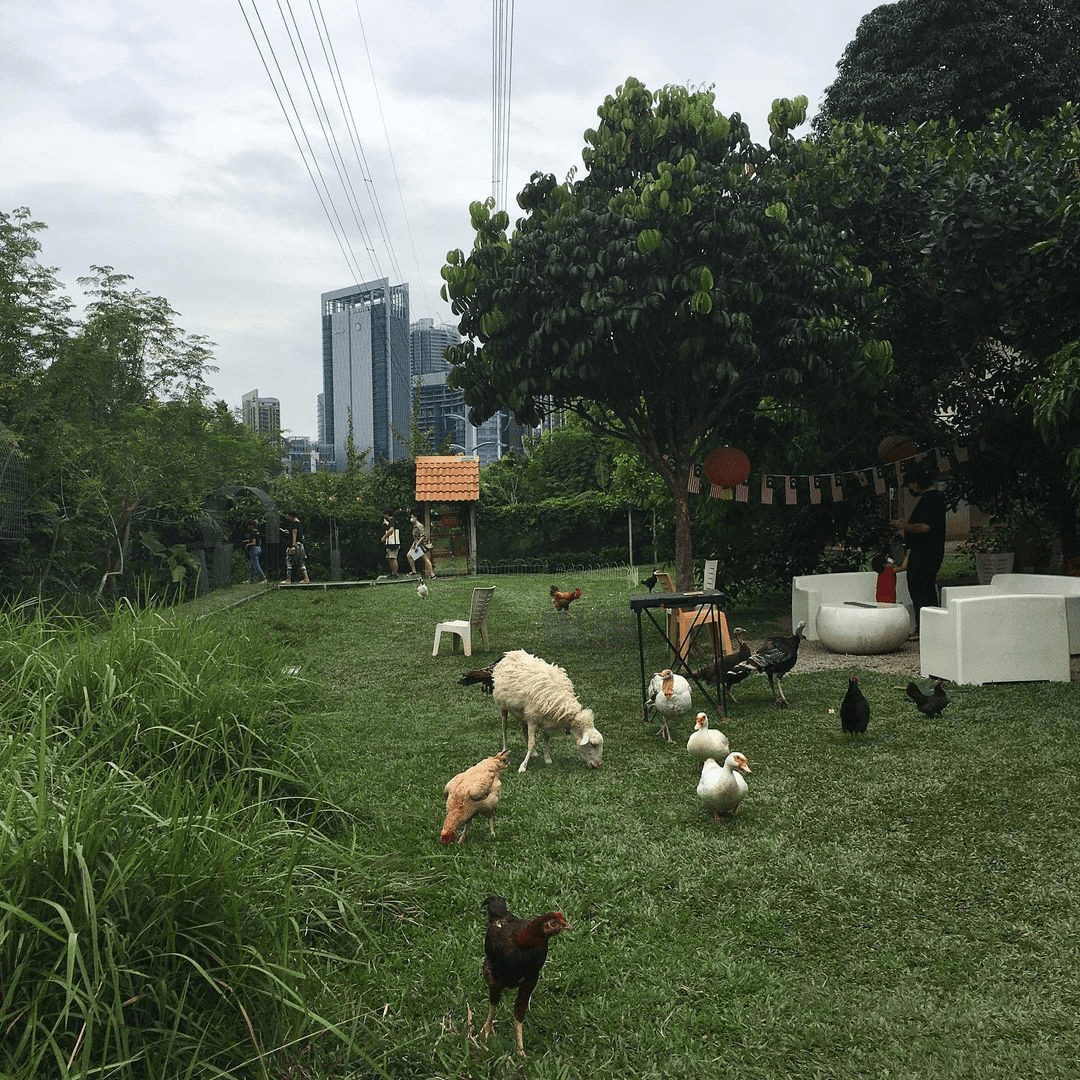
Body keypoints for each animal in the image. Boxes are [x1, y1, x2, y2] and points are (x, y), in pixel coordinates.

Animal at [494, 643, 604, 773]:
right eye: (592, 744)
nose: (599, 765)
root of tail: (511, 653)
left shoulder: (546, 719)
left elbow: (546, 738)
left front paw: (547, 758)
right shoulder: (533, 718)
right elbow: (532, 743)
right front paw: (523, 766)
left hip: (522, 711)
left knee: (524, 728)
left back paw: (534, 753)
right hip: (503, 707)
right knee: (504, 728)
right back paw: (504, 749)